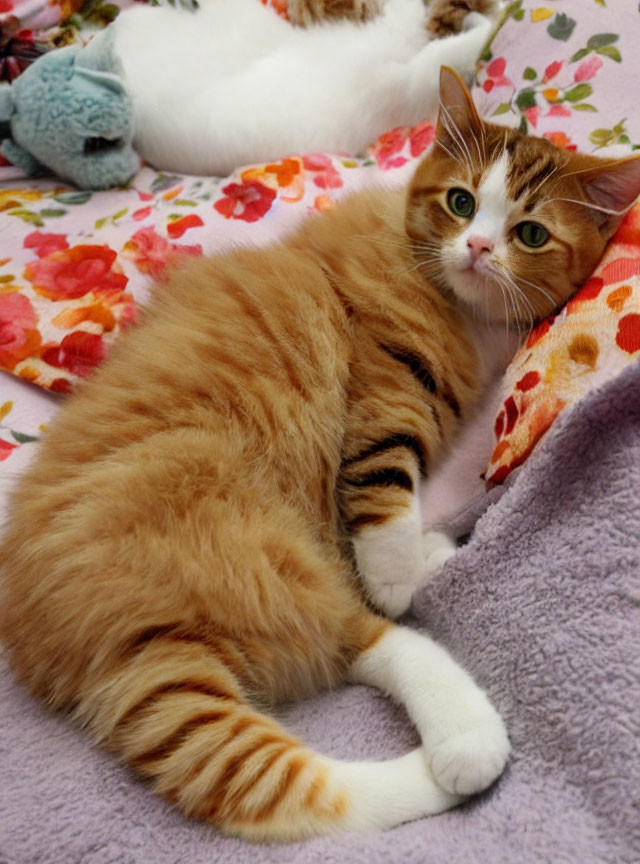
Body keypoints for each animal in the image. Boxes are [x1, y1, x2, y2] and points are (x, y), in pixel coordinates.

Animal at [1, 71, 640, 840]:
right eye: (461, 203)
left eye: (531, 233)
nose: (480, 249)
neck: (460, 300)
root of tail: (98, 631)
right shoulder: (385, 384)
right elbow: (384, 490)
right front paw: (397, 563)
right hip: (253, 535)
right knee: (370, 631)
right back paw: (460, 726)